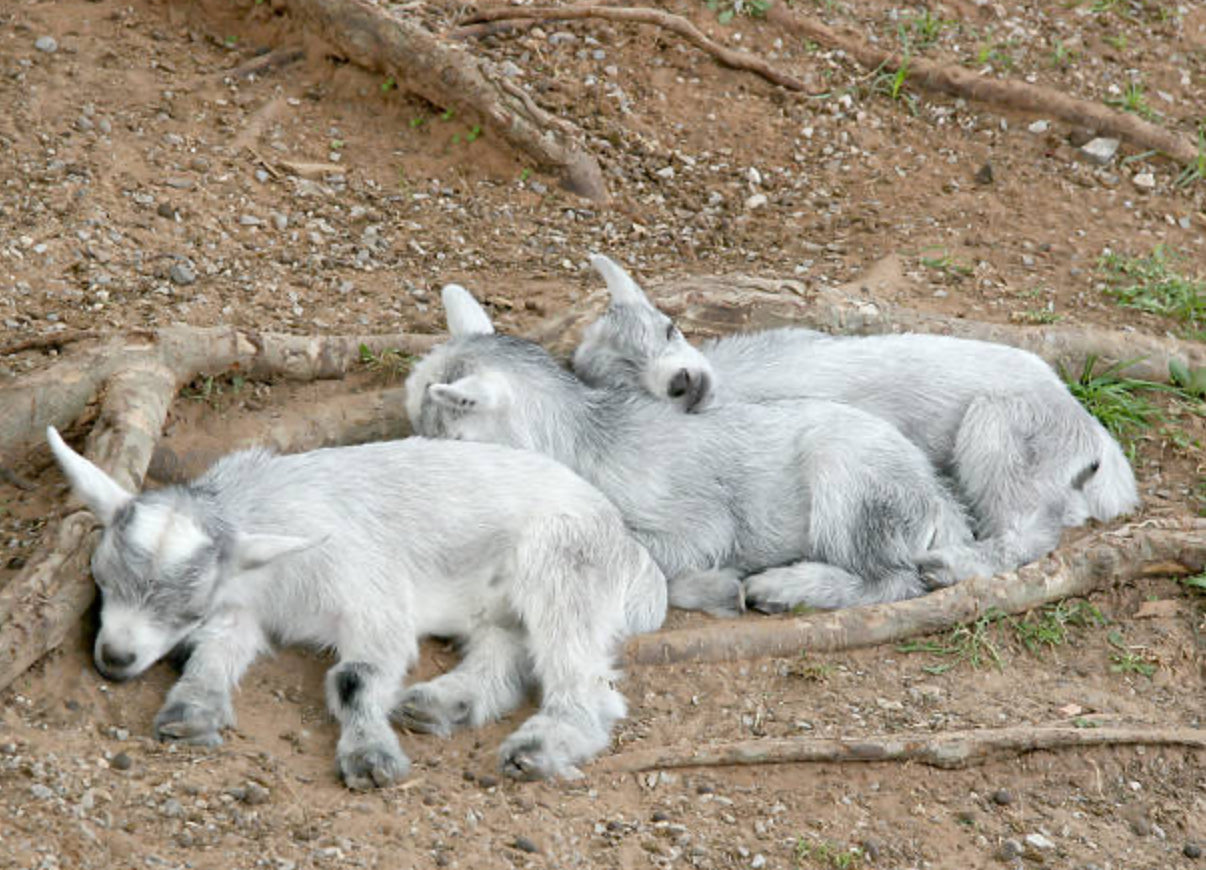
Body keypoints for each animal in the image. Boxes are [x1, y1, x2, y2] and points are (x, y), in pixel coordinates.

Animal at [47, 427, 666, 786]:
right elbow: (219, 651)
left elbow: (355, 677)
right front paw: (192, 710)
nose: (114, 658)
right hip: (498, 604)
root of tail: (637, 557)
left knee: (583, 681)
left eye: (186, 609)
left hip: (564, 563)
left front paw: (370, 757)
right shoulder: (246, 605)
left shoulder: (371, 593)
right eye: (102, 579)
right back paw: (441, 703)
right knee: (507, 654)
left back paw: (538, 746)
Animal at [406, 286, 1012, 617]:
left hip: (852, 483)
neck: (585, 438)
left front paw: (719, 588)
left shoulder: (696, 525)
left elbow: (656, 559)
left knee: (895, 578)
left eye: (449, 435)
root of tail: (935, 497)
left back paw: (783, 588)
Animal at [572, 255, 1139, 570]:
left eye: (669, 328)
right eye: (624, 378)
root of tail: (1092, 439)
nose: (683, 383)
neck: (736, 380)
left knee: (1025, 533)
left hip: (1001, 431)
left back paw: (947, 565)